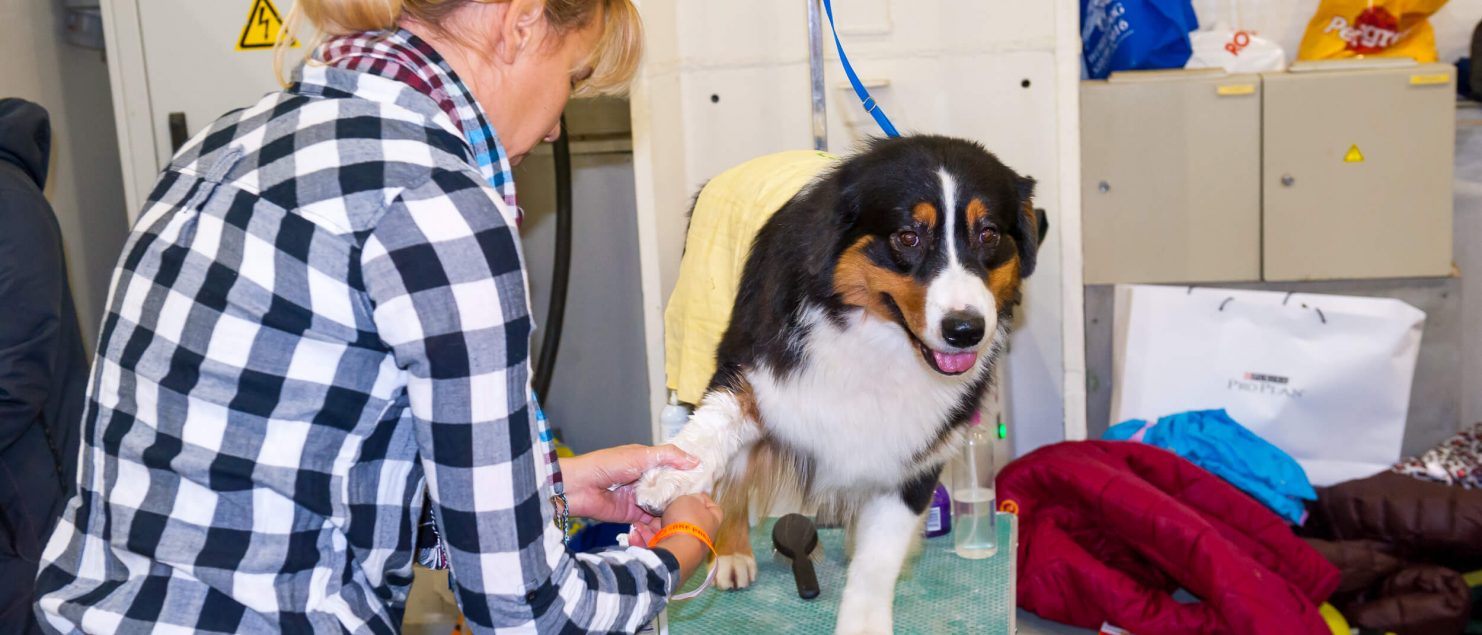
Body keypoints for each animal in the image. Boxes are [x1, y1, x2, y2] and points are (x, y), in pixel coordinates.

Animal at [637, 136, 1043, 632]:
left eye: (988, 234)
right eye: (908, 237)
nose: (965, 330)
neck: (880, 337)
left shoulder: (922, 447)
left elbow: (879, 558)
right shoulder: (756, 363)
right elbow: (717, 424)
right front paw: (670, 474)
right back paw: (732, 551)